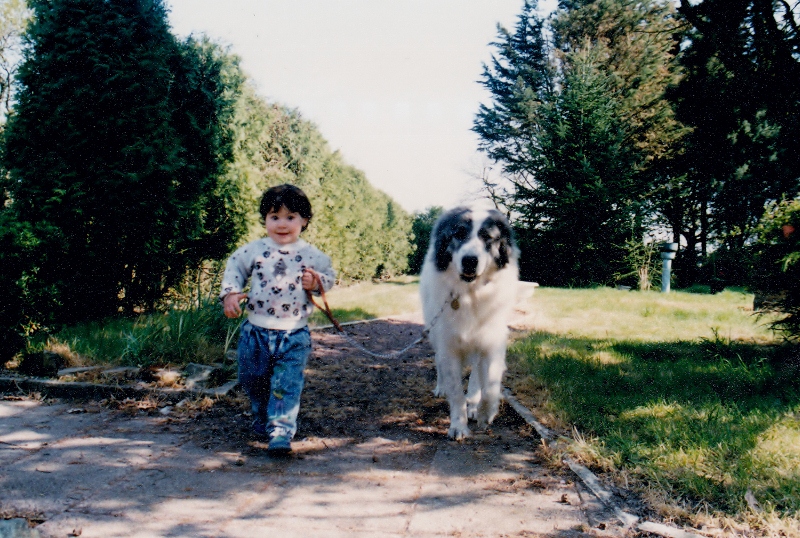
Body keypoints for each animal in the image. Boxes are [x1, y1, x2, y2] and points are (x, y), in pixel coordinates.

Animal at [418, 203, 520, 438]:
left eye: (487, 238)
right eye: (459, 234)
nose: (470, 260)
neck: (471, 292)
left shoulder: (491, 343)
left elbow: (490, 385)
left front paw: (484, 412)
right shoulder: (448, 346)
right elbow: (456, 392)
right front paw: (458, 426)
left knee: (476, 376)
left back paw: (473, 403)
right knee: (438, 362)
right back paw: (442, 388)